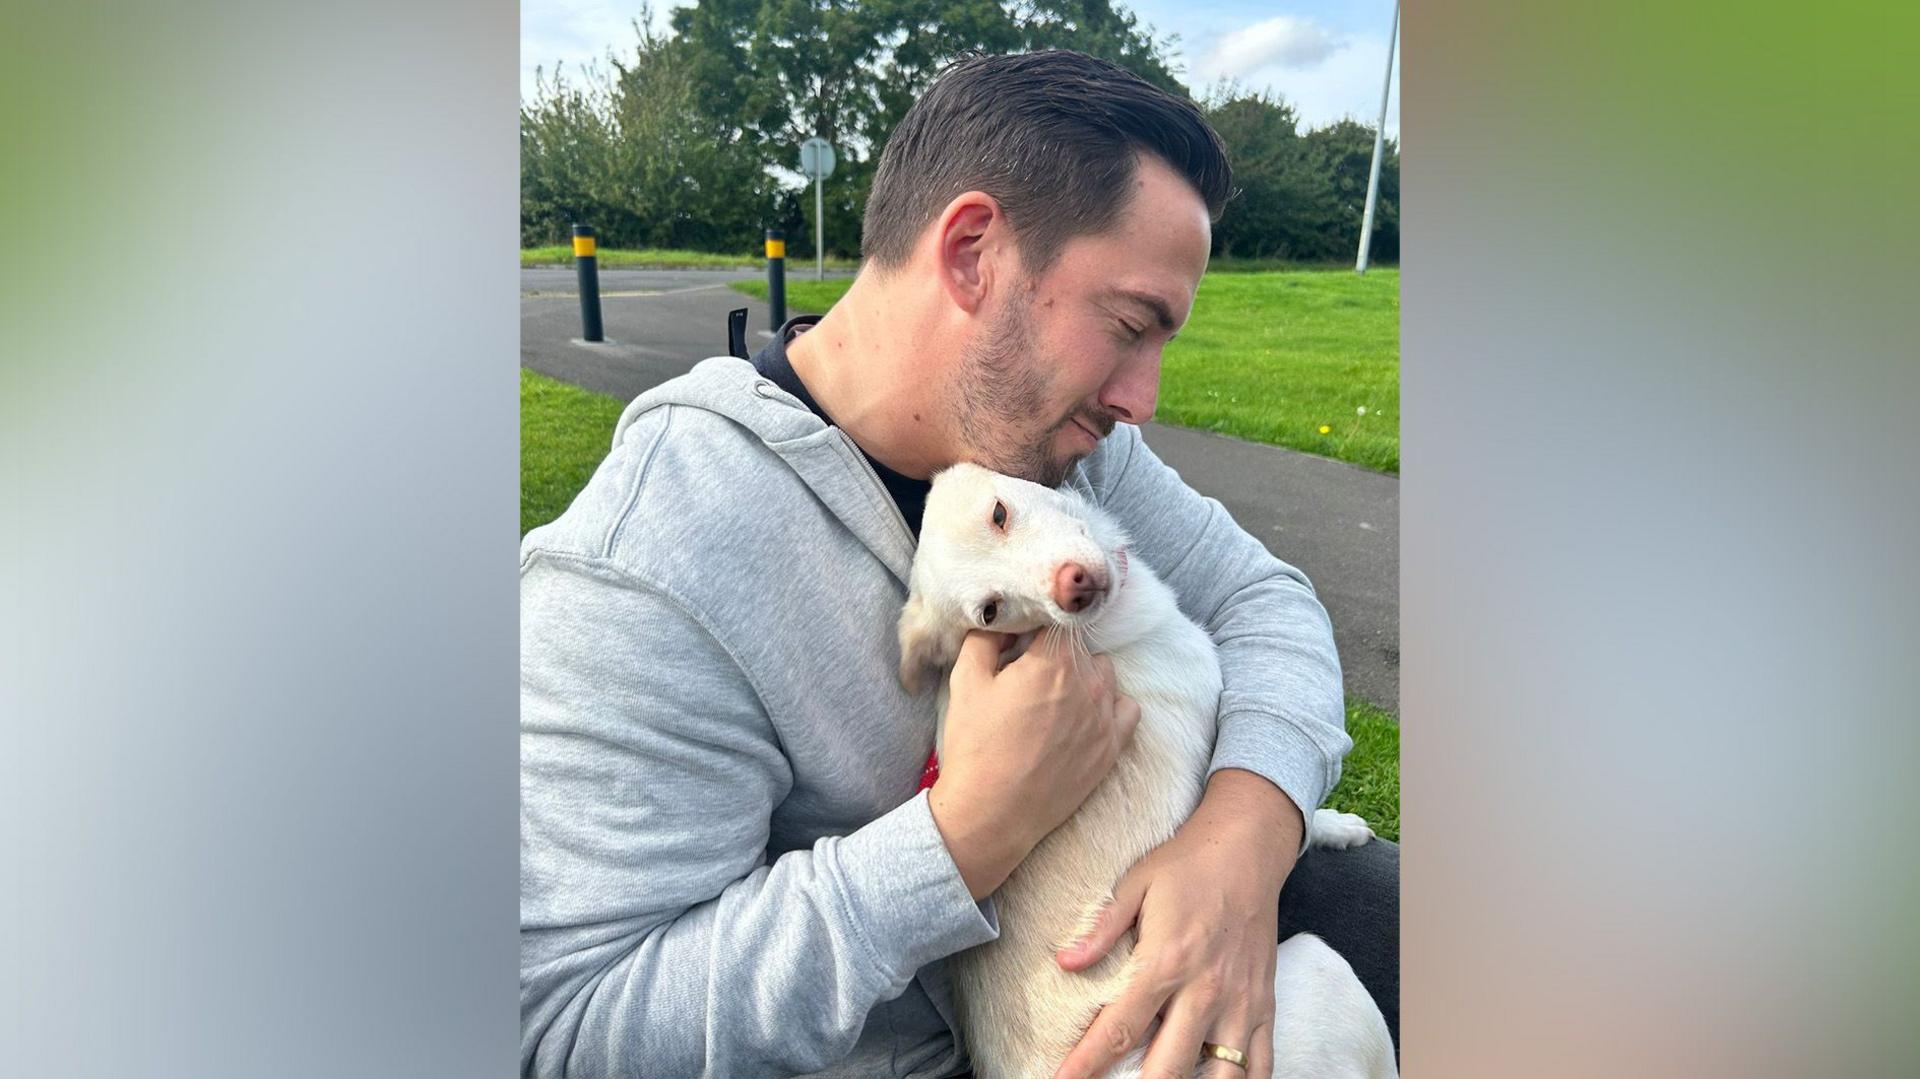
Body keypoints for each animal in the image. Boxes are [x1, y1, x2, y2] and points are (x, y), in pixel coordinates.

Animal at [898, 460, 1397, 1075]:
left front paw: (1337, 823)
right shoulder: (1211, 755)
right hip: (1328, 973)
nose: (1073, 588)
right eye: (991, 611)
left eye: (999, 513)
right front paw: (1333, 826)